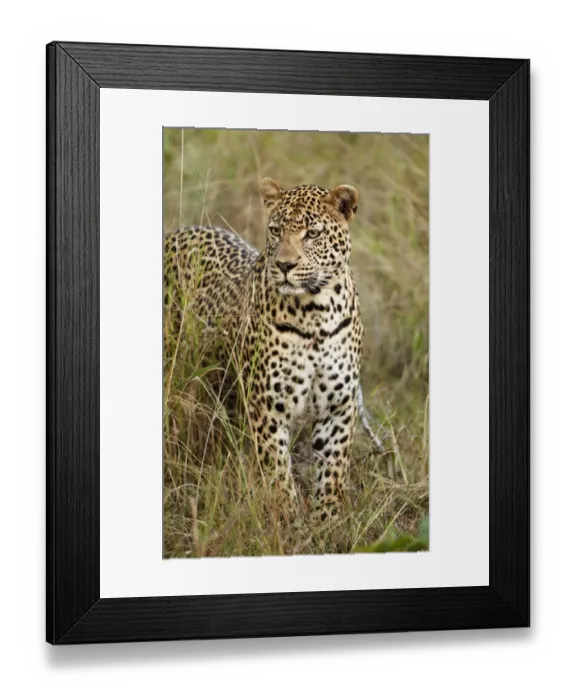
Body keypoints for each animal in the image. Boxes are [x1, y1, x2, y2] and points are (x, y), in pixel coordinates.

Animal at [164, 178, 365, 525]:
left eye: (312, 233)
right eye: (275, 230)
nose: (285, 265)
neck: (316, 312)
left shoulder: (338, 406)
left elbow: (333, 468)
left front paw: (328, 520)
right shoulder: (267, 406)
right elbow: (277, 471)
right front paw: (288, 520)